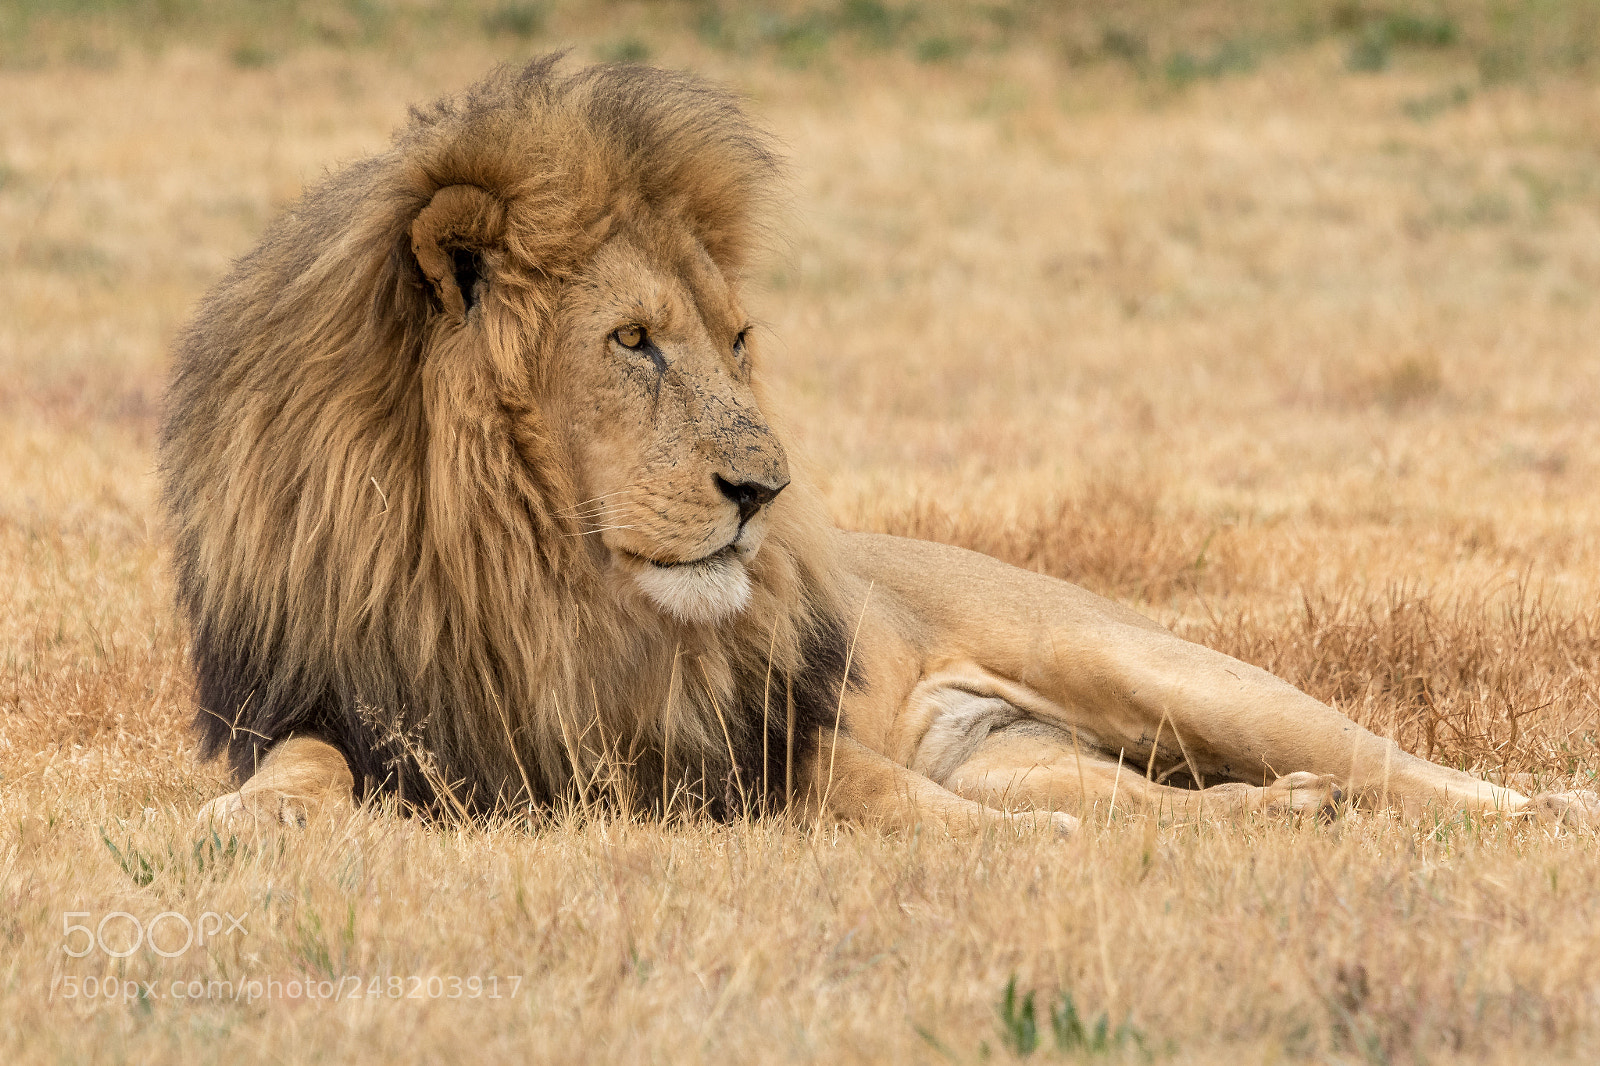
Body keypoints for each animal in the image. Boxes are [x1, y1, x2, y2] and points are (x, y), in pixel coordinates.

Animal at [161, 56, 1596, 834]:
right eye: (633, 340)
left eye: (737, 339)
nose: (763, 489)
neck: (525, 578)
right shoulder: (344, 704)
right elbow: (301, 763)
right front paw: (236, 821)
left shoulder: (750, 739)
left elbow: (878, 797)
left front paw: (1027, 849)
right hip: (1042, 746)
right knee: (1178, 805)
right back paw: (1281, 814)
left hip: (1163, 667)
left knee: (1403, 767)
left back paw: (1533, 813)